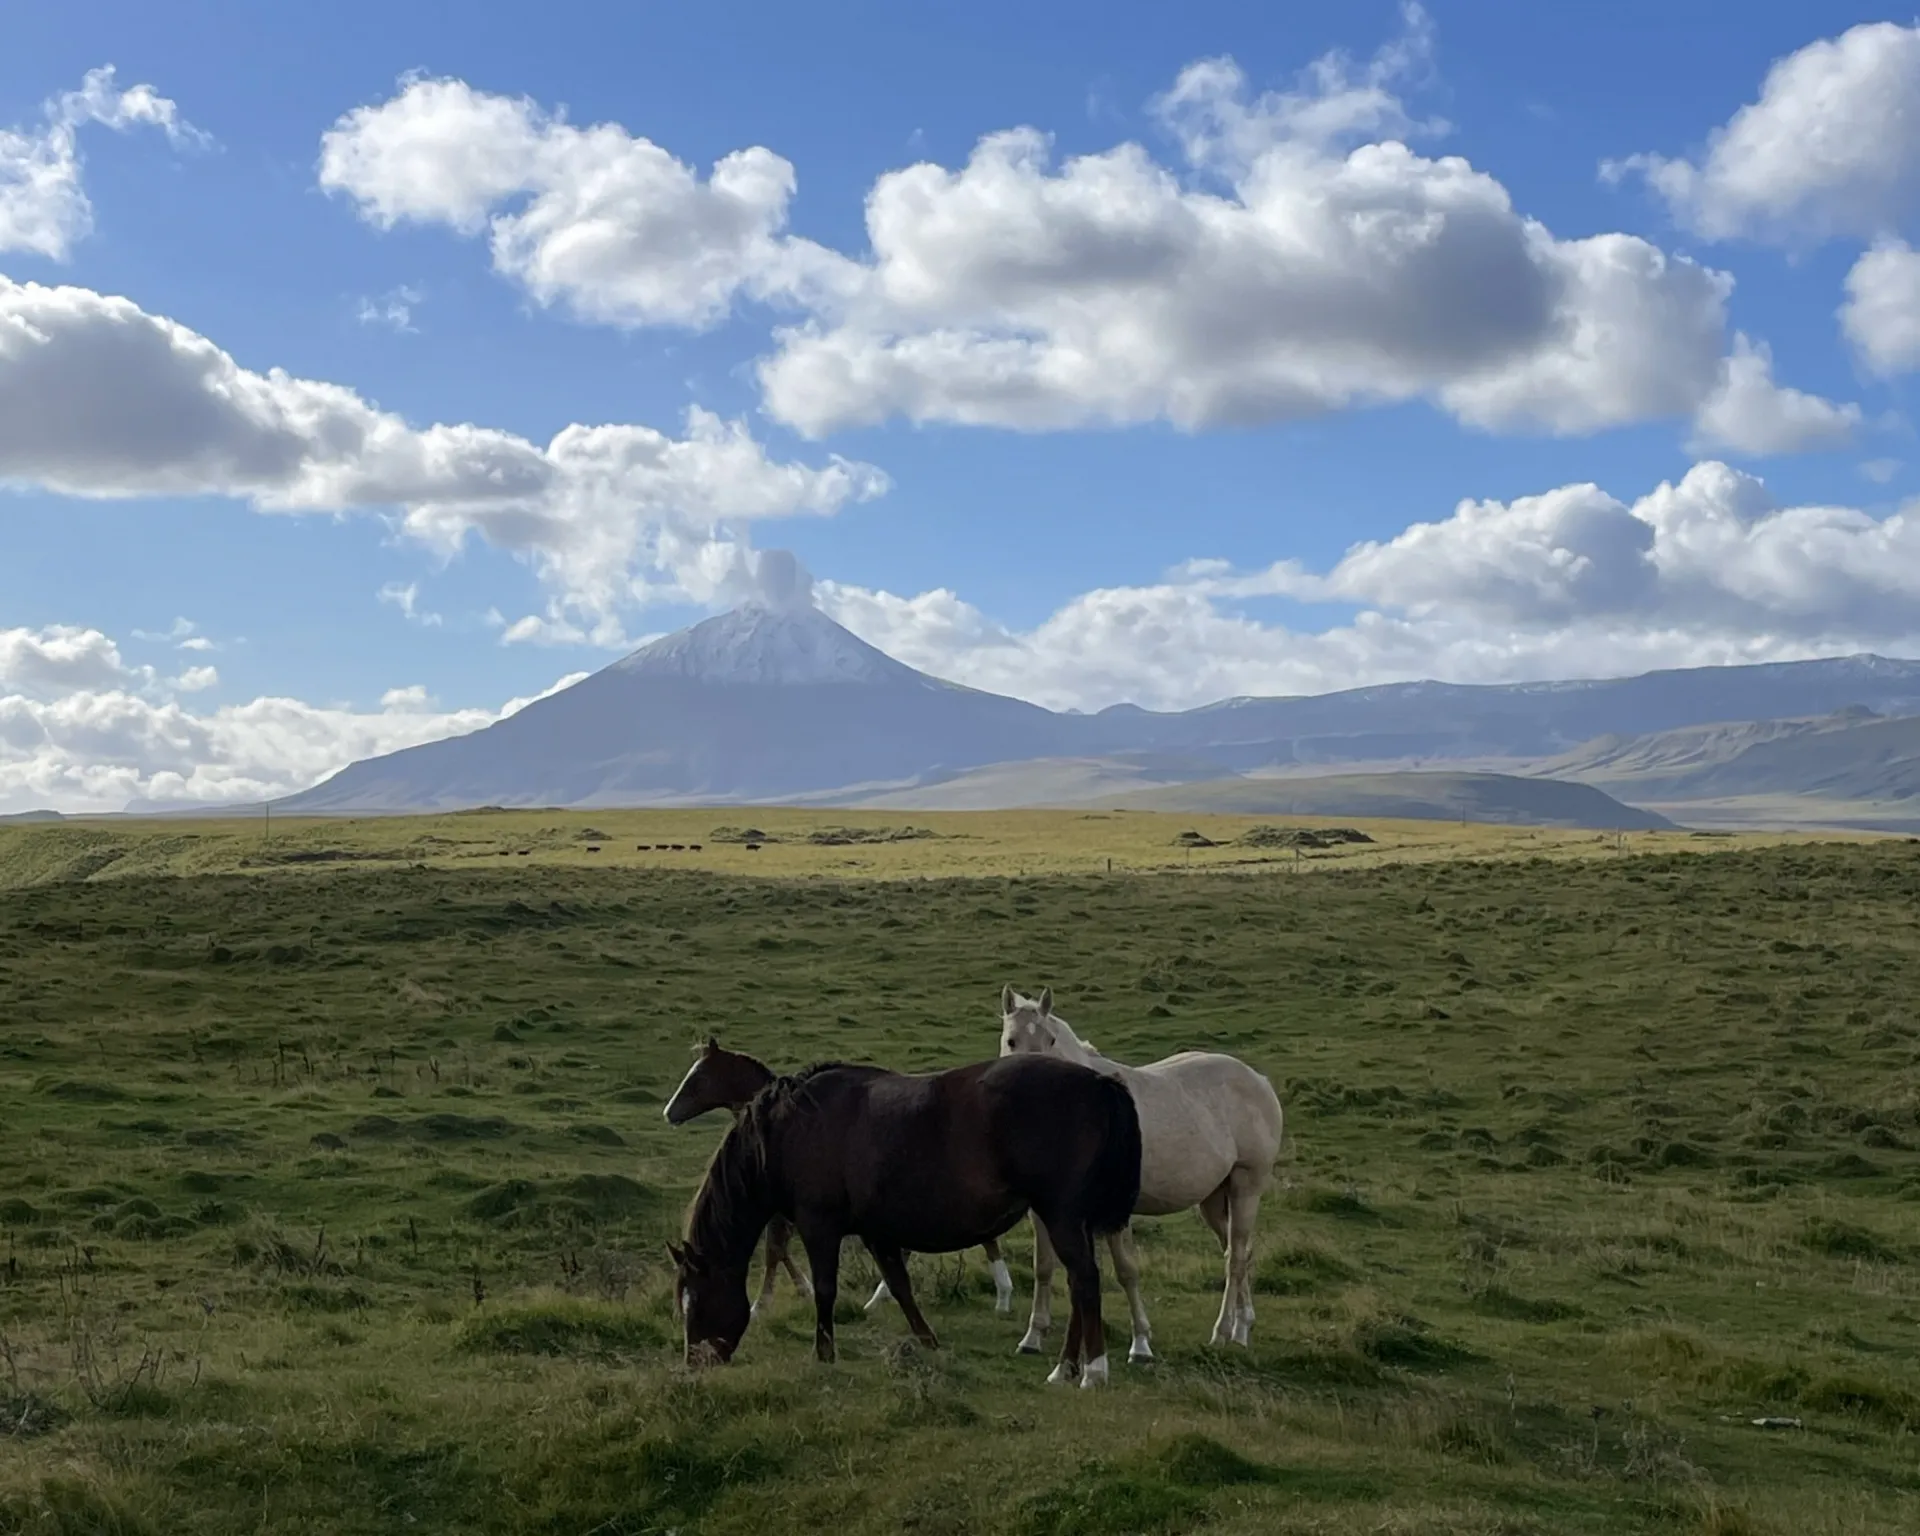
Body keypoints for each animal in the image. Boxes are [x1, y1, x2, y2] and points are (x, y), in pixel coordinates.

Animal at [664, 1038, 1016, 1315]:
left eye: (697, 1078)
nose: (669, 1113)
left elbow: (774, 1249)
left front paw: (762, 1305)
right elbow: (780, 1249)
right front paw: (802, 1289)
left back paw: (1002, 1296)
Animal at [998, 985, 1284, 1358]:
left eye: (1050, 1040)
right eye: (1011, 1040)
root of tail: (1259, 1080)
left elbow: (1126, 1270)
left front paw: (1141, 1344)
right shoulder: (1043, 1210)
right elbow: (1043, 1266)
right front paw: (1033, 1337)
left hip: (1246, 1188)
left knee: (1234, 1258)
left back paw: (1222, 1333)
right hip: (1213, 1201)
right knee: (1238, 1252)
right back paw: (1242, 1327)